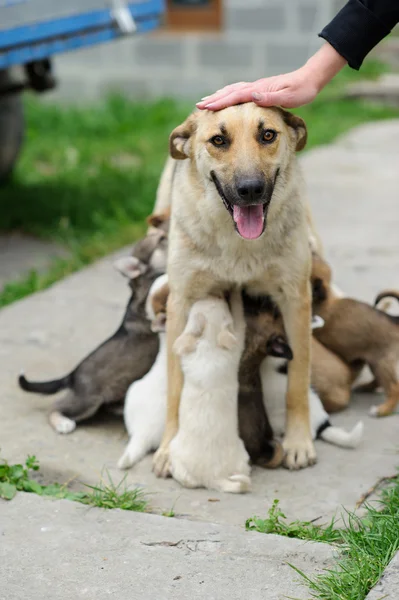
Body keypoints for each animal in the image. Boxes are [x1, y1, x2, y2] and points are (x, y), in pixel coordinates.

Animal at [18, 213, 169, 434]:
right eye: (161, 240)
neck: (141, 281)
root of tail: (71, 376)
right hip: (88, 401)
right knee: (55, 407)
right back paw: (62, 423)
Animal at [170, 290, 252, 492]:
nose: (215, 294)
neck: (208, 340)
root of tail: (213, 478)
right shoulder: (236, 340)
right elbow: (238, 315)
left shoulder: (236, 341)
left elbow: (239, 315)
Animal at [312, 253, 399, 418]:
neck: (326, 301)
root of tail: (395, 320)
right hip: (374, 362)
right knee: (379, 381)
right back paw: (365, 387)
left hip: (382, 363)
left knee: (394, 388)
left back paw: (382, 410)